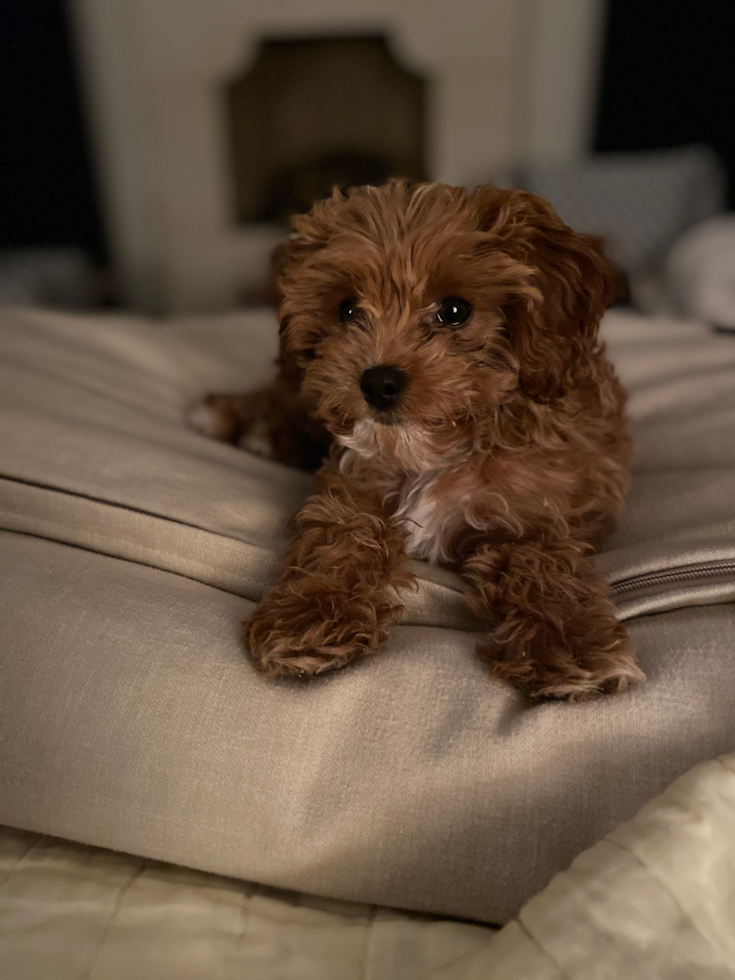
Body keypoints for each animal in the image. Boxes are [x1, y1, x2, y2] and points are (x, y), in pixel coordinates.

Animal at [194, 184, 644, 700]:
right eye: (348, 309)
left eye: (455, 311)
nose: (378, 382)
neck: (439, 447)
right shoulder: (353, 478)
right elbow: (339, 533)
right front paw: (309, 618)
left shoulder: (541, 511)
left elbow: (543, 565)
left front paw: (571, 647)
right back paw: (232, 417)